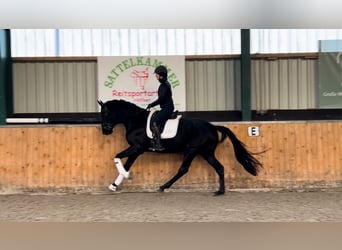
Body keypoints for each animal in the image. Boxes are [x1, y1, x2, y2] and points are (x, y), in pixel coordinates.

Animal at [97, 99, 264, 195]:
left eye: (105, 112)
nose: (105, 130)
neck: (136, 120)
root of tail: (212, 126)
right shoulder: (136, 150)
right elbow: (126, 163)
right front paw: (114, 185)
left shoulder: (137, 147)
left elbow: (117, 157)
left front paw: (126, 176)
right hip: (205, 152)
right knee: (220, 168)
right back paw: (220, 191)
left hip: (192, 150)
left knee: (183, 169)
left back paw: (163, 187)